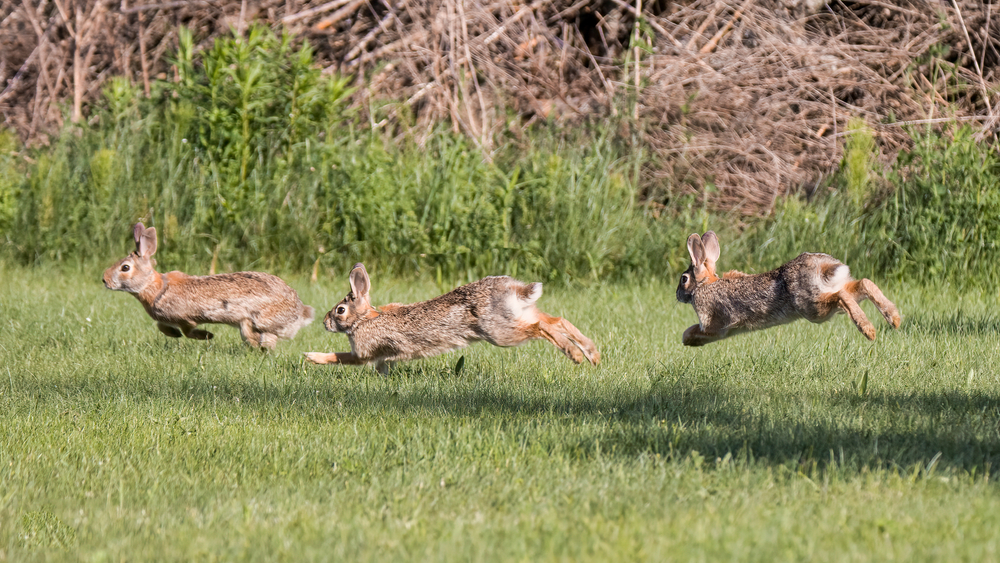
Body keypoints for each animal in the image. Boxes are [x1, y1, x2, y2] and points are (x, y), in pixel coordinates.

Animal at [101, 224, 312, 348]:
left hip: (255, 322)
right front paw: (174, 334)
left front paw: (207, 336)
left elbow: (188, 331)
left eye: (125, 268)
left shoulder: (186, 318)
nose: (104, 280)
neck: (157, 288)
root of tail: (301, 311)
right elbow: (162, 327)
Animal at [302, 264, 600, 374]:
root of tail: (513, 289)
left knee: (541, 328)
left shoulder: (363, 352)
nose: (325, 323)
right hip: (519, 315)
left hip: (501, 332)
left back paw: (575, 354)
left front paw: (312, 357)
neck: (365, 319)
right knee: (556, 320)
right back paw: (592, 354)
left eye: (340, 310)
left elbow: (341, 357)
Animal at [676, 231, 904, 346]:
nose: (678, 295)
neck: (706, 284)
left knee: (841, 296)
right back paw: (894, 319)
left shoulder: (712, 323)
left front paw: (686, 339)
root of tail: (823, 266)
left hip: (813, 308)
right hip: (834, 291)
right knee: (863, 283)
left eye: (684, 279)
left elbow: (699, 329)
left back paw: (869, 331)